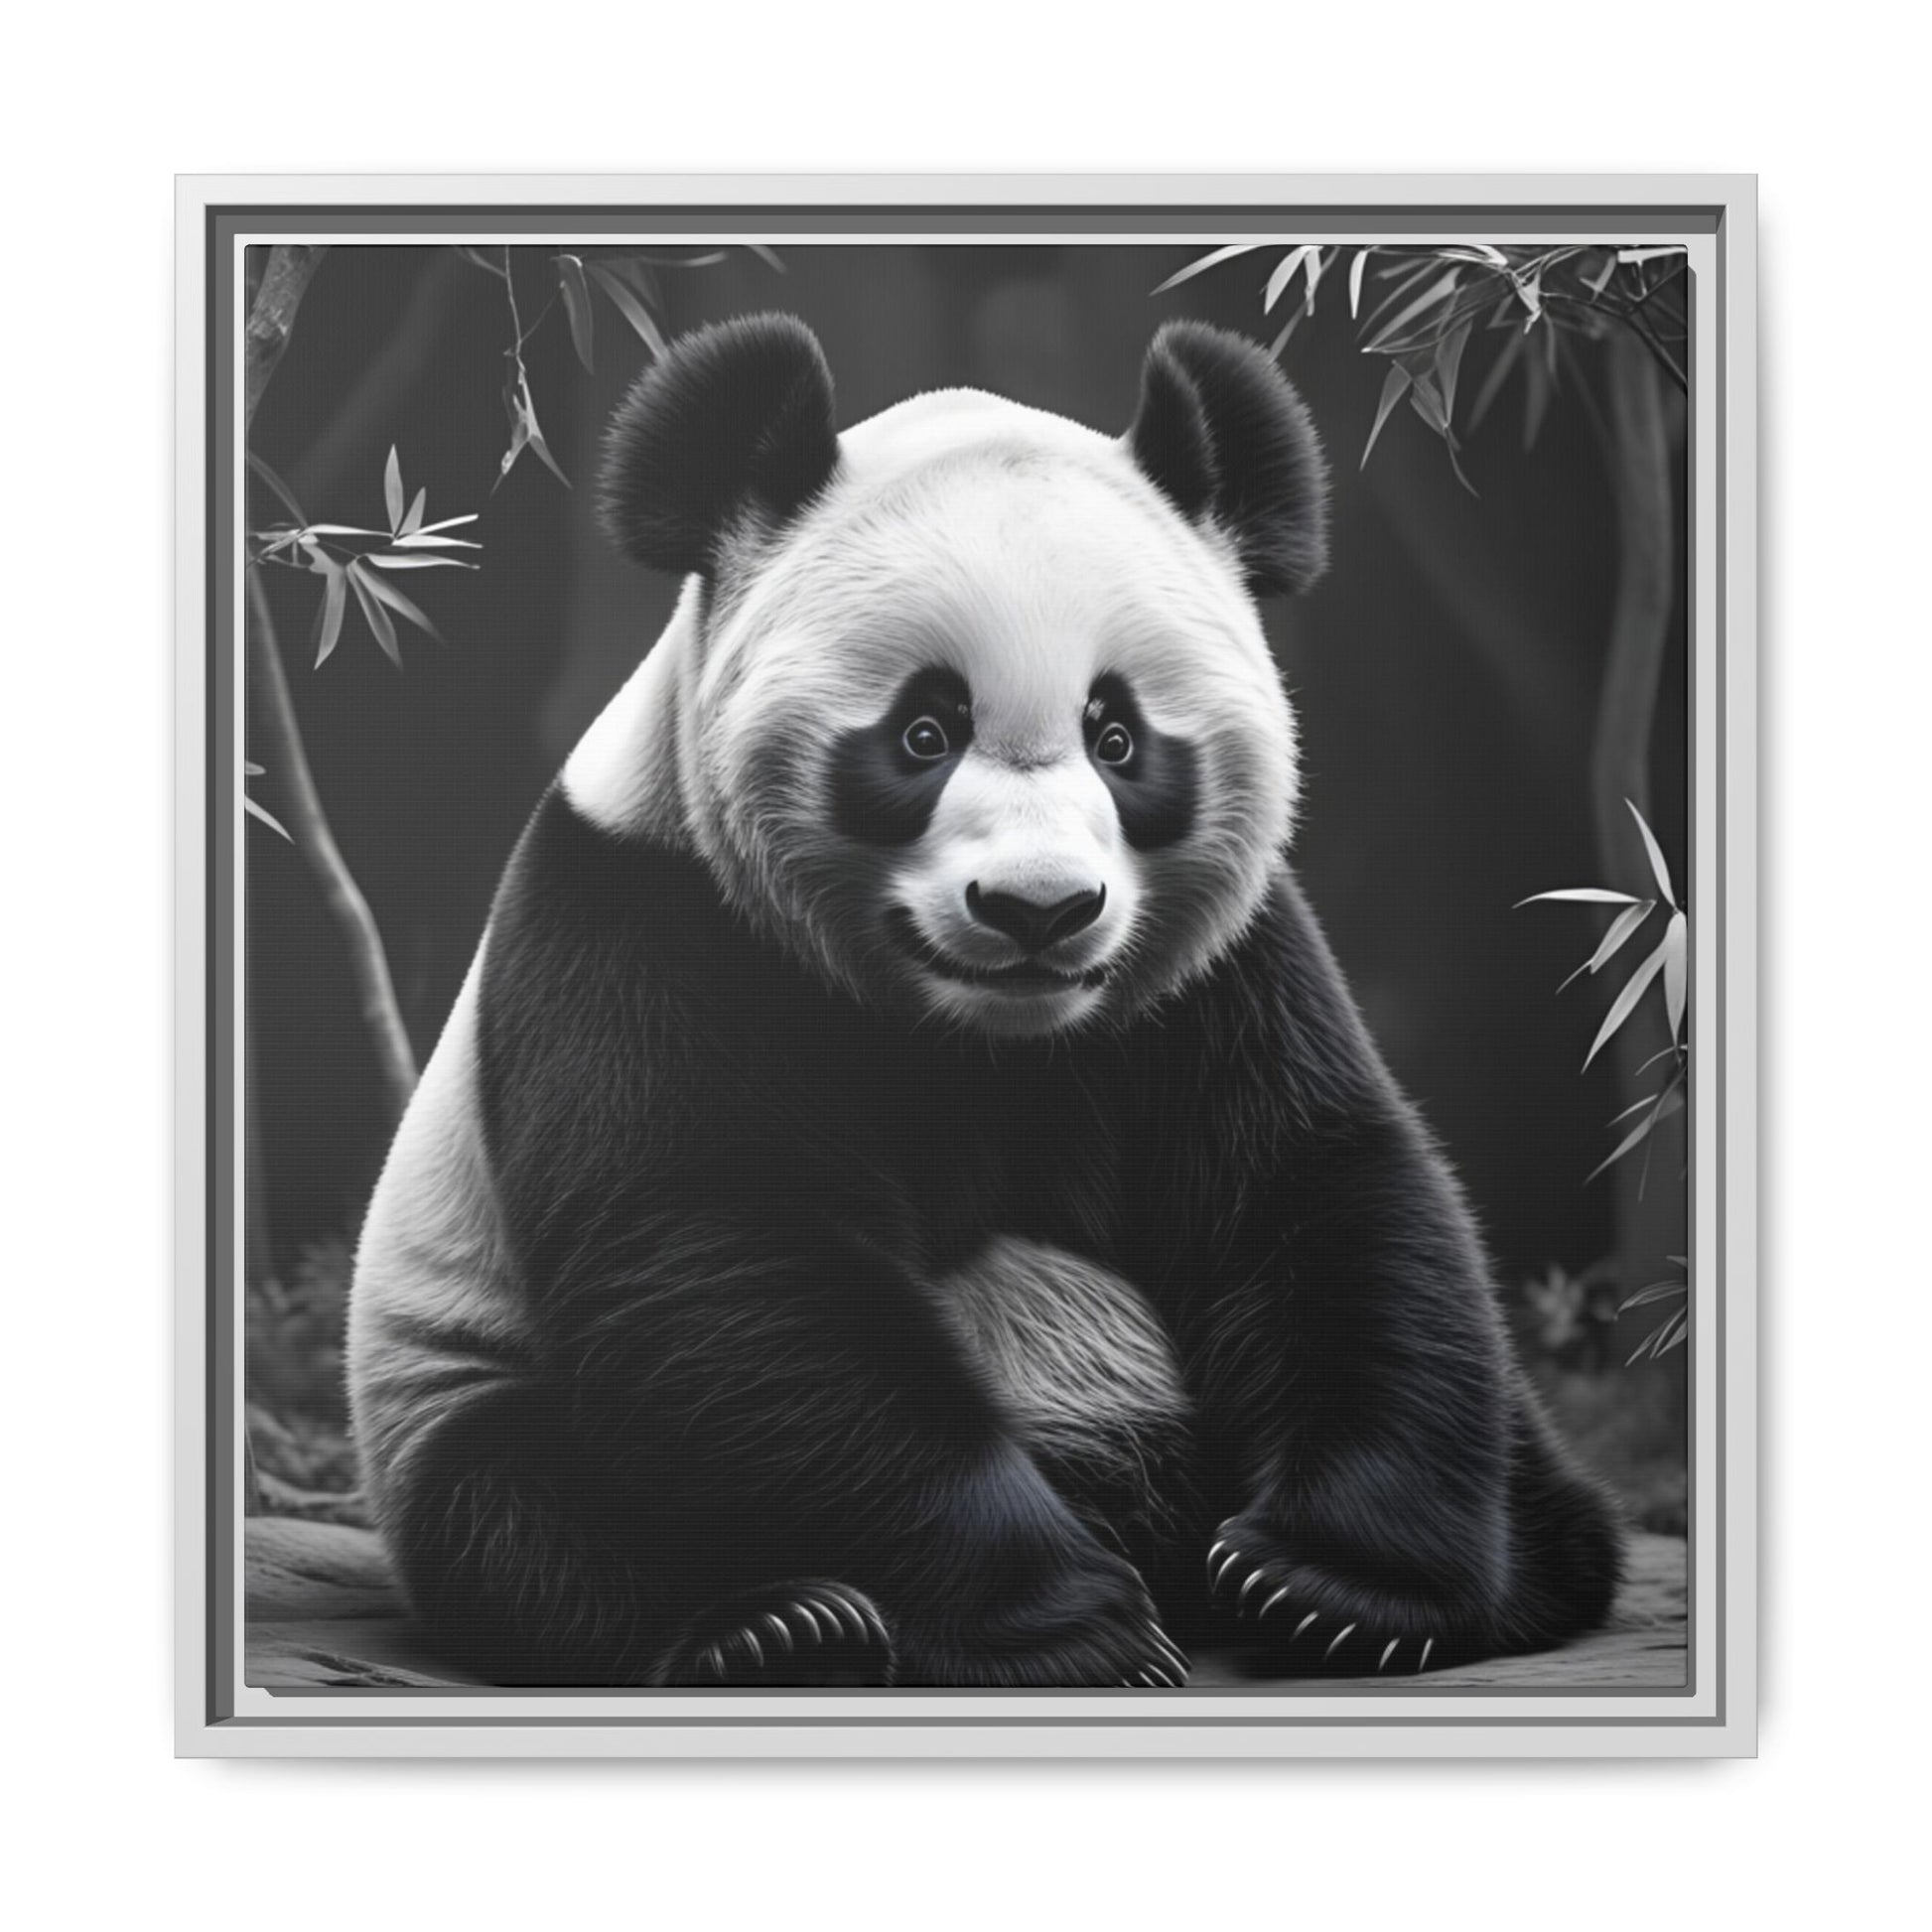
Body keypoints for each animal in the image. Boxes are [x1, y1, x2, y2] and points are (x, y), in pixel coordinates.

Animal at [346, 312, 1623, 1688]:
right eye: (923, 731)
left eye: (1117, 736)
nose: (1037, 910)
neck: (980, 1039)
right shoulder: (648, 923)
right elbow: (722, 1253)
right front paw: (1068, 1622)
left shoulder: (1218, 971)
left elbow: (1313, 1188)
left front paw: (1330, 1585)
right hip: (449, 1380)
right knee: (531, 1510)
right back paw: (777, 1627)